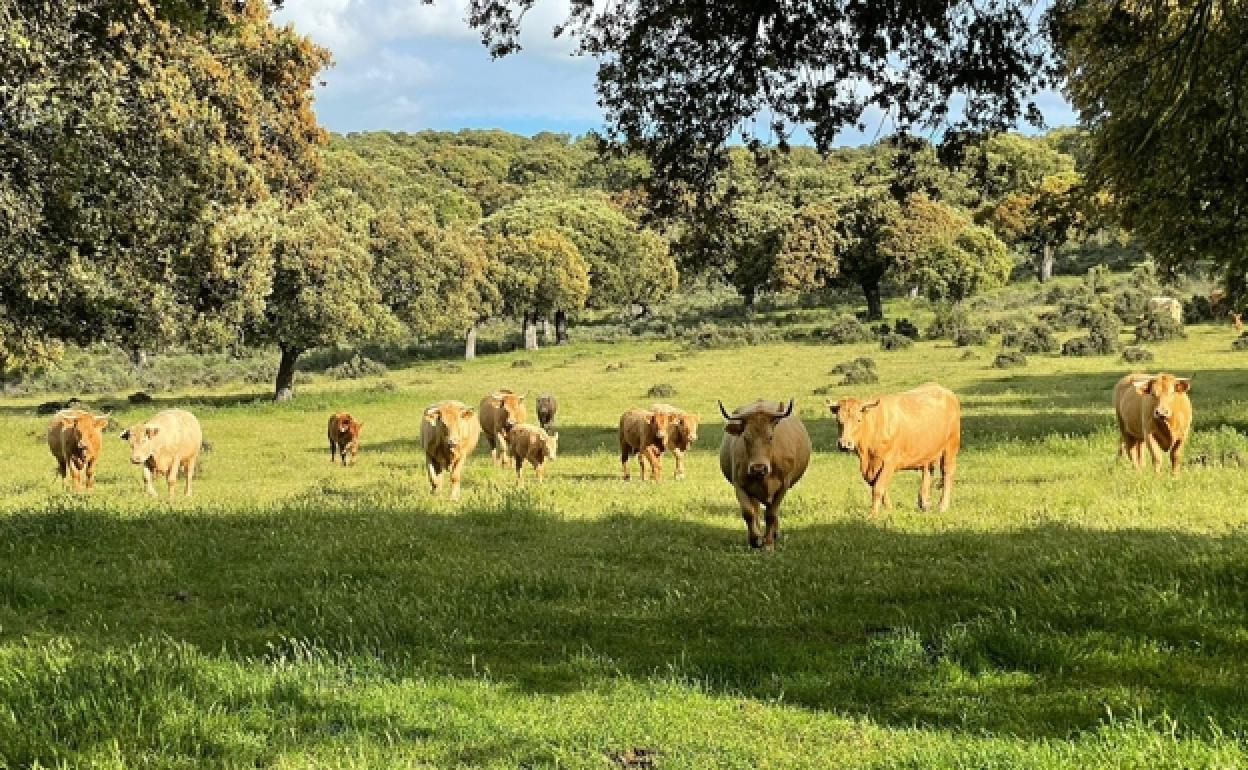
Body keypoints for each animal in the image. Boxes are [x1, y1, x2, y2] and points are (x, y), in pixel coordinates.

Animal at [718, 399, 813, 549]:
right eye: (746, 437)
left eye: (770, 437)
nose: (759, 468)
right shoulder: (739, 485)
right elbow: (748, 513)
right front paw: (755, 539)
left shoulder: (783, 486)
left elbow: (771, 515)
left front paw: (768, 543)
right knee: (756, 509)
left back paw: (774, 534)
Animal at [828, 381, 963, 516]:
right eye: (838, 420)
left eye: (859, 420)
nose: (844, 444)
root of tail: (945, 391)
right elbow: (878, 486)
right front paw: (889, 509)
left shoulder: (889, 461)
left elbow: (878, 488)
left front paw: (873, 514)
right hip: (928, 449)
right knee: (927, 470)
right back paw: (925, 503)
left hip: (951, 445)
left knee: (947, 472)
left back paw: (942, 506)